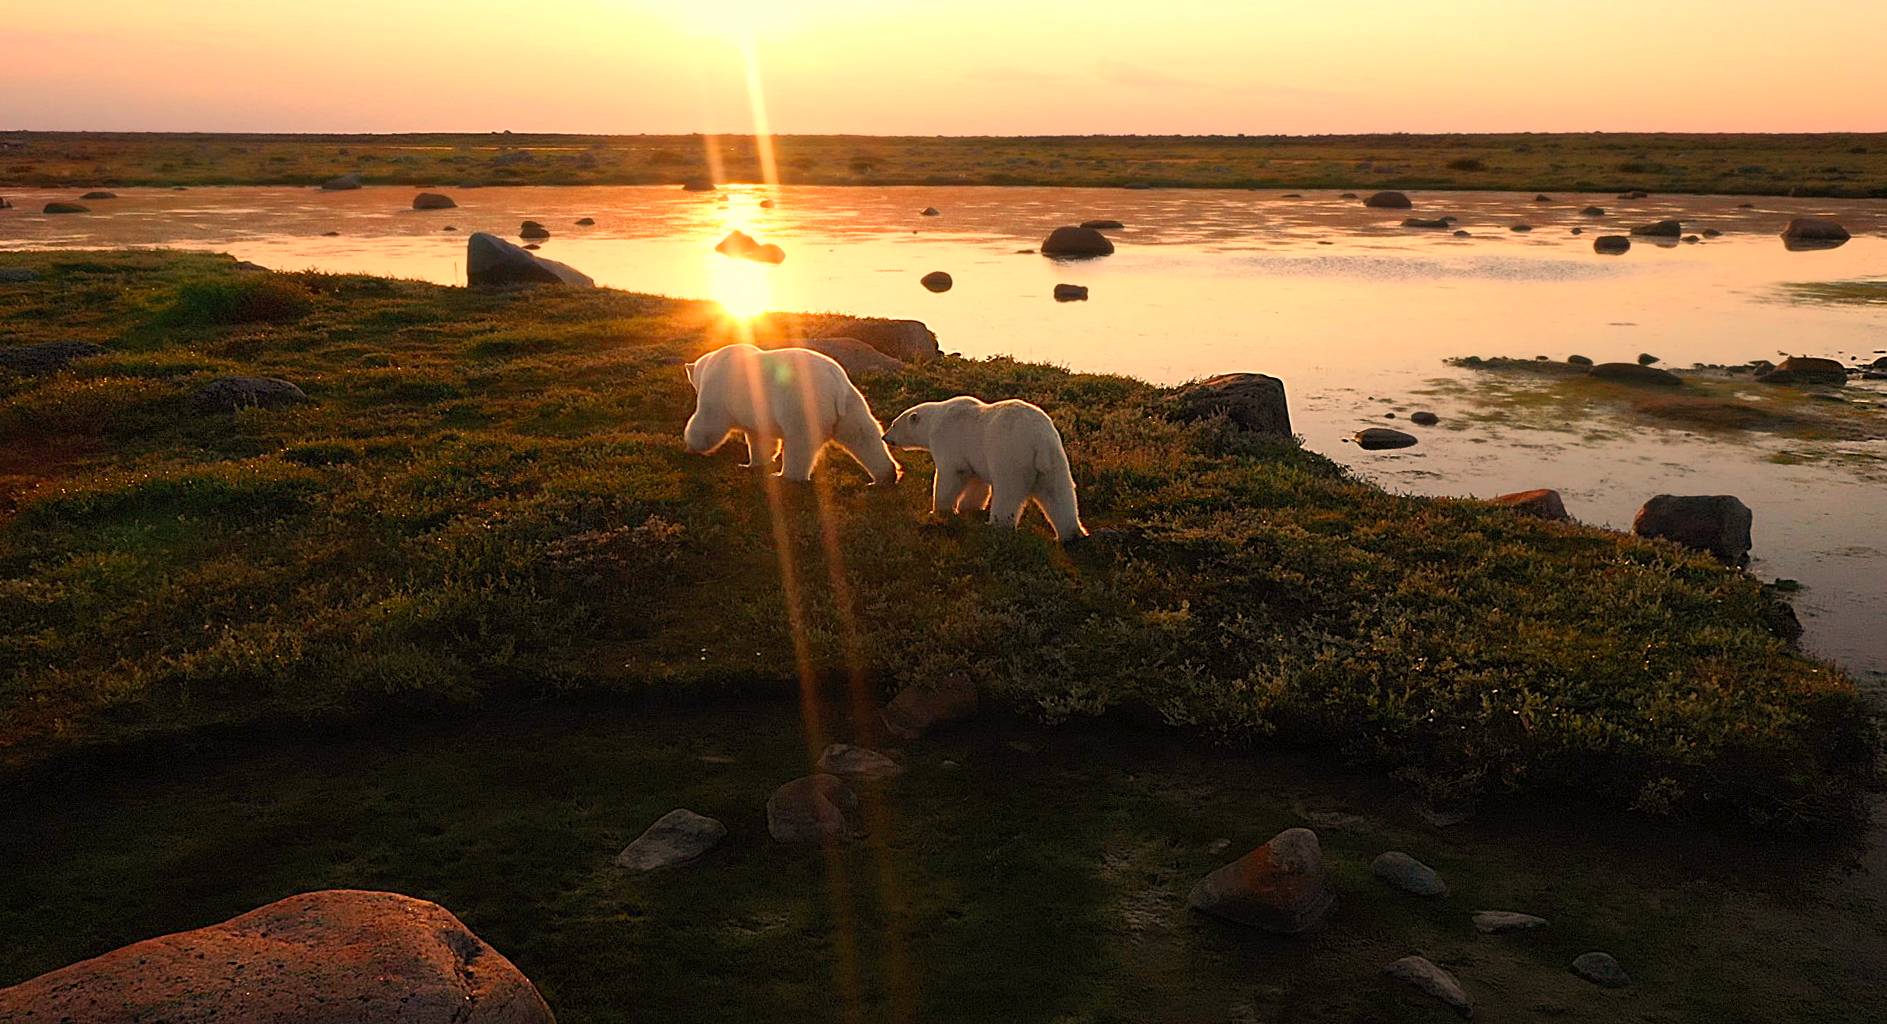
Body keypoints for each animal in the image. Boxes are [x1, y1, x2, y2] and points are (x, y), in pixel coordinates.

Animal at [683, 343, 901, 485]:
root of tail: (835, 381)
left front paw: (691, 447)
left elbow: (708, 422)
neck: (710, 364)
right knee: (864, 435)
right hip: (851, 404)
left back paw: (785, 476)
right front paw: (753, 463)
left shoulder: (718, 391)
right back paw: (886, 476)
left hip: (802, 402)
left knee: (800, 442)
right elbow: (760, 437)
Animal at [881, 396, 1086, 541]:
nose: (884, 437)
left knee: (1008, 493)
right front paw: (967, 507)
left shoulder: (948, 439)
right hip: (1054, 458)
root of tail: (1039, 439)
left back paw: (996, 525)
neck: (935, 420)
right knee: (1059, 493)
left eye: (893, 424)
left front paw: (939, 510)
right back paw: (1070, 534)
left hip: (1011, 454)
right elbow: (976, 482)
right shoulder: (974, 456)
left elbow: (950, 474)